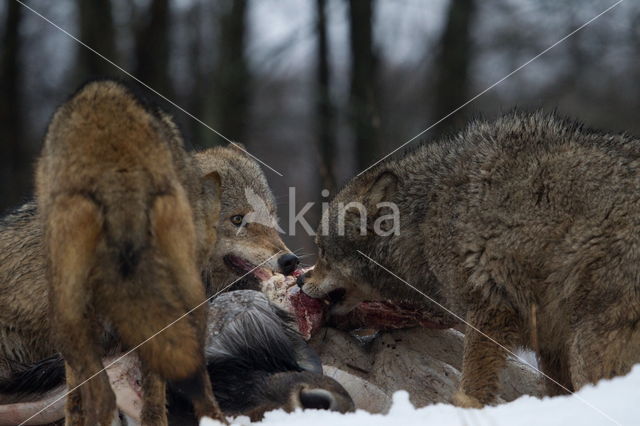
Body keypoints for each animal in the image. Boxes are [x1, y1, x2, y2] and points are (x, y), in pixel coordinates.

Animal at [300, 111, 640, 408]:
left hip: (588, 343)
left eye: (322, 251)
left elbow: (472, 387)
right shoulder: (548, 338)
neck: (423, 219)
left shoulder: (489, 310)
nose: (302, 279)